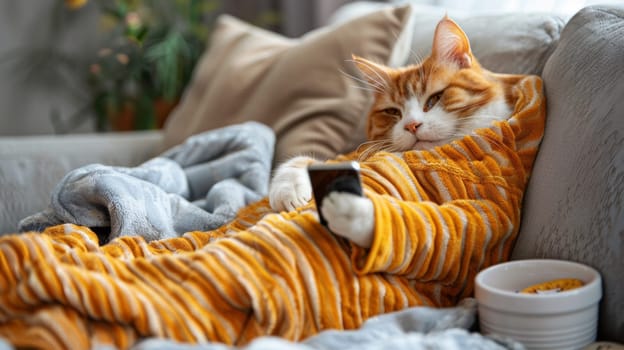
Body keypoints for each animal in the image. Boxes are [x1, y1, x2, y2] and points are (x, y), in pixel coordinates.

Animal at [270, 15, 524, 246]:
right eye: (393, 112)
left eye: (434, 99)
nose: (412, 125)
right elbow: (301, 162)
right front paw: (289, 189)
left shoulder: (490, 206)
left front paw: (353, 211)